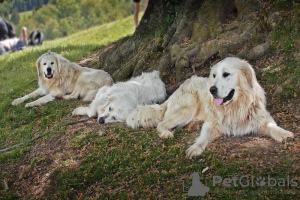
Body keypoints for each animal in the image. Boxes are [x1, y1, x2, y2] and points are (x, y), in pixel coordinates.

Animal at [127, 57, 296, 158]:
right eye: (214, 76)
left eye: (226, 74)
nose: (212, 90)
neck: (234, 106)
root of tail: (177, 89)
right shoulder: (211, 124)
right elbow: (203, 137)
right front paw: (195, 148)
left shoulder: (260, 119)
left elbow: (272, 126)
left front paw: (284, 134)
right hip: (186, 109)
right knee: (161, 124)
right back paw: (166, 133)